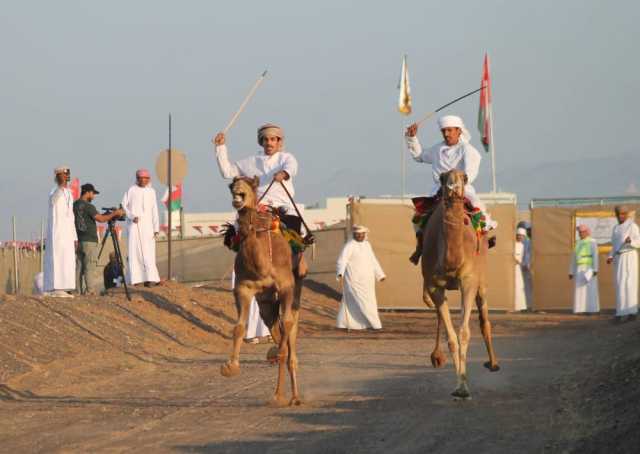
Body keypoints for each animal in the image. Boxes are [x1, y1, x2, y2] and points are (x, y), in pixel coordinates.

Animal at [220, 176, 304, 406]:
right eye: (232, 184)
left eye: (251, 183)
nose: (238, 191)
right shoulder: (243, 288)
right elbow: (239, 327)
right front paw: (230, 367)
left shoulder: (286, 286)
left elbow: (286, 332)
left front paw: (279, 393)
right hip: (265, 299)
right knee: (273, 324)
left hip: (295, 290)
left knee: (291, 330)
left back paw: (293, 396)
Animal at [420, 169, 500, 398]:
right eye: (442, 177)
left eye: (464, 177)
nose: (452, 186)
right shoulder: (434, 286)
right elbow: (451, 338)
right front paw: (459, 387)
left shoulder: (469, 281)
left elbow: (464, 333)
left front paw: (463, 386)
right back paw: (436, 356)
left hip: (481, 280)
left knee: (484, 320)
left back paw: (493, 363)